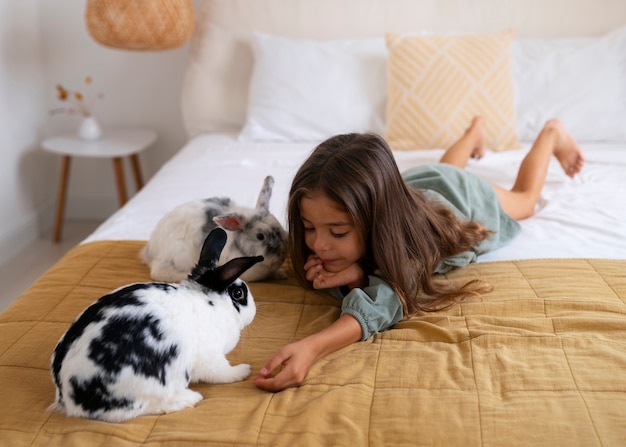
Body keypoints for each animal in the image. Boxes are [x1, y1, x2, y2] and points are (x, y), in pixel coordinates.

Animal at [50, 229, 260, 426]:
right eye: (239, 293)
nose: (254, 313)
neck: (209, 300)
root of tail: (70, 399)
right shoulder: (212, 358)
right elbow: (223, 373)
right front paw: (244, 370)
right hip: (148, 387)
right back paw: (190, 398)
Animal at [140, 176, 286, 284]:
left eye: (280, 227)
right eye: (260, 236)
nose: (282, 252)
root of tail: (151, 248)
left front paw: (281, 274)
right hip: (175, 255)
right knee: (158, 271)